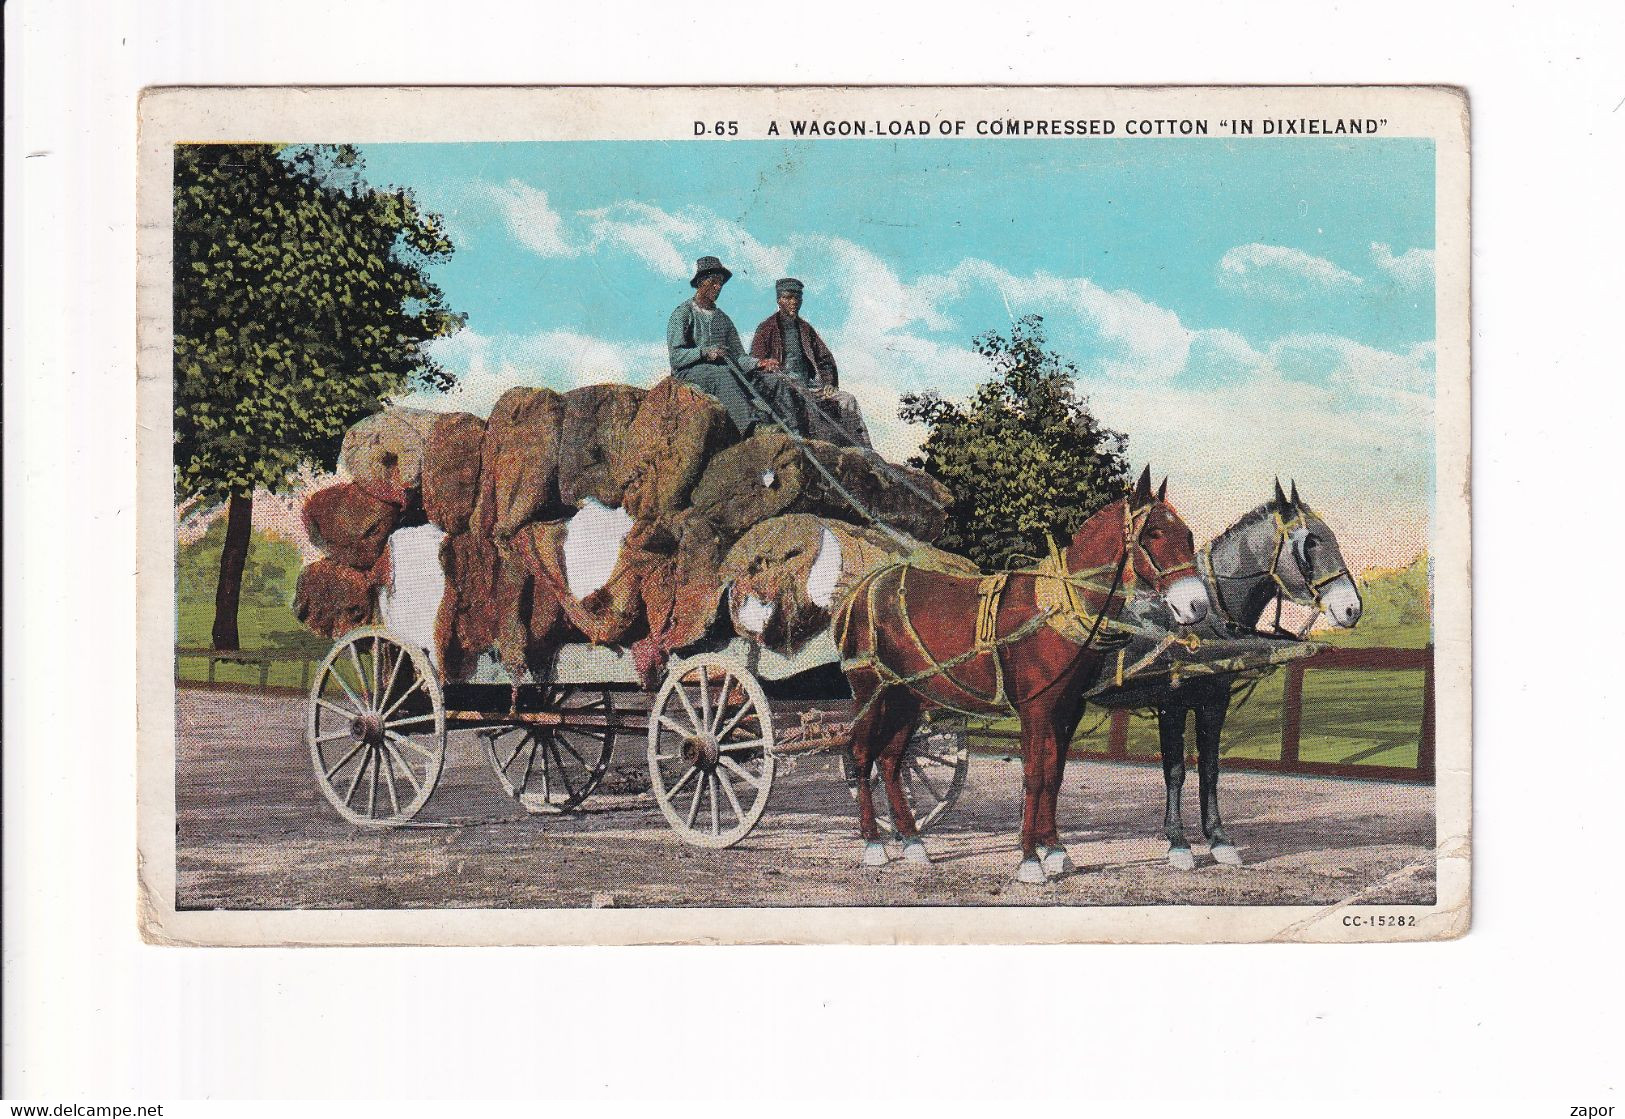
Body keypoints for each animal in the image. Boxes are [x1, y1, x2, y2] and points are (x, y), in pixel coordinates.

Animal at [838, 464, 1209, 883]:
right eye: (1154, 534)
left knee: (890, 761)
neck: (1056, 610)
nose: (1197, 605)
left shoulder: (1067, 710)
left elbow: (1054, 774)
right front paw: (1030, 858)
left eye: (1188, 534)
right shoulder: (1035, 708)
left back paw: (913, 842)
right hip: (870, 693)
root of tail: (862, 590)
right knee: (861, 756)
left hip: (908, 698)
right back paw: (873, 844)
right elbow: (1033, 775)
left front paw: (1056, 849)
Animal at [1092, 474, 1358, 870]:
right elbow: (1175, 770)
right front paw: (1178, 843)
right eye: (1310, 542)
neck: (1205, 618)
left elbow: (1210, 768)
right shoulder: (1172, 704)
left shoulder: (1214, 702)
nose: (1352, 608)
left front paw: (1218, 839)